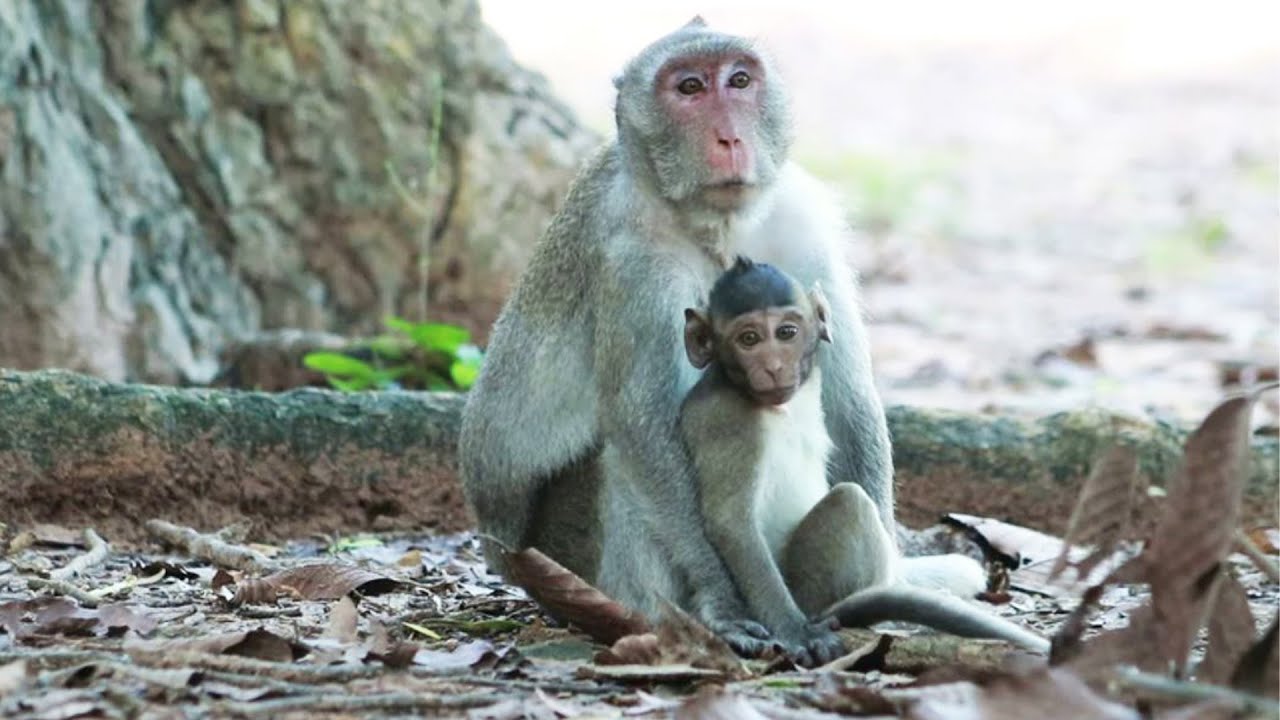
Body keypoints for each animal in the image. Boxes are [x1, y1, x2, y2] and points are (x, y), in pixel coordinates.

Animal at [458, 17, 984, 657]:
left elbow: (845, 394)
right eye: (689, 88)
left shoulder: (802, 219)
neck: (715, 226)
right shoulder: (634, 265)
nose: (731, 138)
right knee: (622, 462)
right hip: (563, 561)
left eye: (738, 80)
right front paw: (724, 603)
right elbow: (645, 428)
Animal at [680, 257, 1050, 665]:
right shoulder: (729, 424)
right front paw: (795, 632)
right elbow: (731, 523)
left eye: (786, 332)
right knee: (850, 501)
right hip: (807, 589)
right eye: (748, 339)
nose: (774, 366)